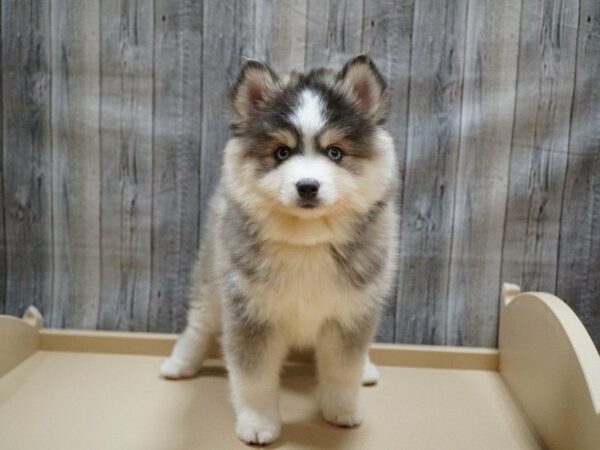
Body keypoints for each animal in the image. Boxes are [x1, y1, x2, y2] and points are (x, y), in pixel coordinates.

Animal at [162, 54, 400, 444]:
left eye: (335, 152)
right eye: (282, 152)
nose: (307, 186)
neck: (307, 242)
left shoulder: (351, 312)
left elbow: (342, 371)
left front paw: (342, 409)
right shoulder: (250, 313)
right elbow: (254, 379)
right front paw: (259, 423)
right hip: (213, 278)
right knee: (198, 323)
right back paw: (180, 363)